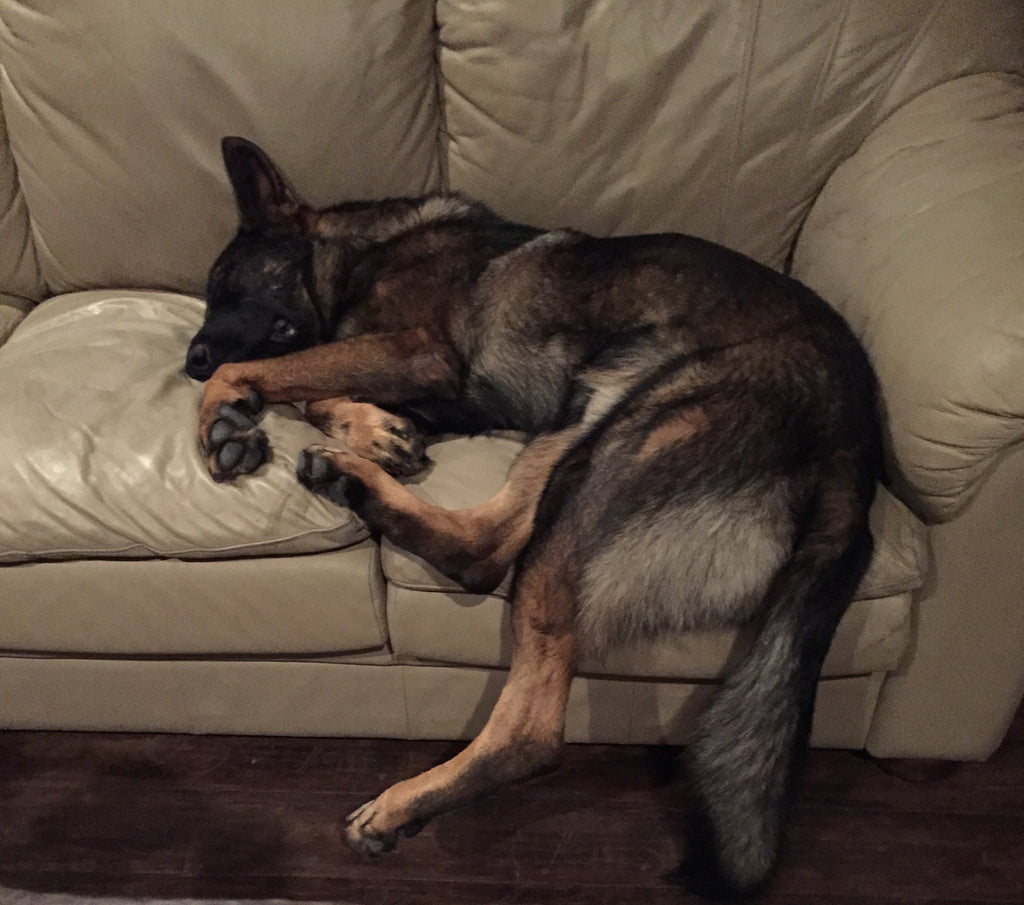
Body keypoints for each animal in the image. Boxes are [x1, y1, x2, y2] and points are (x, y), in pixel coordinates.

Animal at [188, 138, 884, 892]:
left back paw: (404, 803)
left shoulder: (417, 350)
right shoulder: (436, 384)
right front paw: (374, 432)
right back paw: (352, 475)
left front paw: (221, 421)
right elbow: (314, 390)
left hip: (612, 458)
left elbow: (265, 369)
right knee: (483, 547)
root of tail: (855, 443)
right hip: (578, 417)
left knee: (532, 727)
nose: (188, 358)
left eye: (228, 282)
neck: (360, 252)